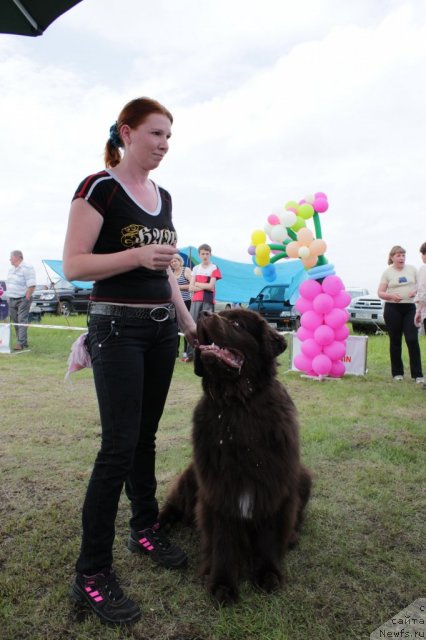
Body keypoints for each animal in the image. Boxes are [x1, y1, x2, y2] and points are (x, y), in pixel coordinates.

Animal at [161, 308, 312, 604]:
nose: (204, 312)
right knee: (173, 505)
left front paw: (268, 574)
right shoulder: (218, 488)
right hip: (191, 475)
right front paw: (222, 584)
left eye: (238, 324)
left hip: (303, 476)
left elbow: (268, 536)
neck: (236, 405)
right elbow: (223, 540)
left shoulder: (272, 485)